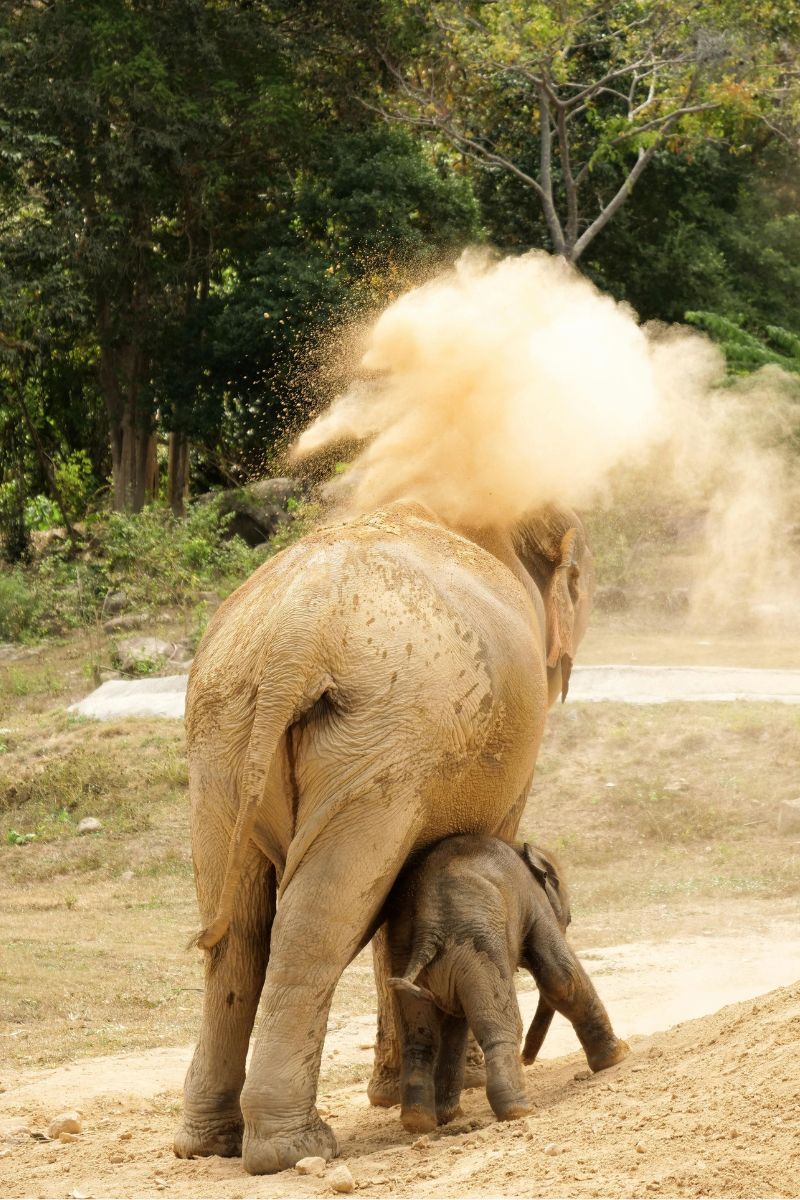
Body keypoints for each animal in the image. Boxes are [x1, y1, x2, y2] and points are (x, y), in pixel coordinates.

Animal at [173, 497, 593, 1174]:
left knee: (236, 933)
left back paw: (209, 1145)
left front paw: (406, 1096)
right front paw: (462, 1086)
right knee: (315, 927)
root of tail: (292, 642)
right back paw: (295, 1150)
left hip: (222, 739)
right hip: (381, 741)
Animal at [384, 834, 630, 1133]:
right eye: (569, 919)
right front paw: (618, 1057)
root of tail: (427, 931)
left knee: (421, 1036)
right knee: (501, 1023)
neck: (522, 848)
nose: (527, 1059)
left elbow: (453, 1025)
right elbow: (561, 978)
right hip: (479, 948)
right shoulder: (534, 901)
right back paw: (519, 1110)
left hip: (404, 954)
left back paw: (419, 1121)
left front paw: (447, 1116)